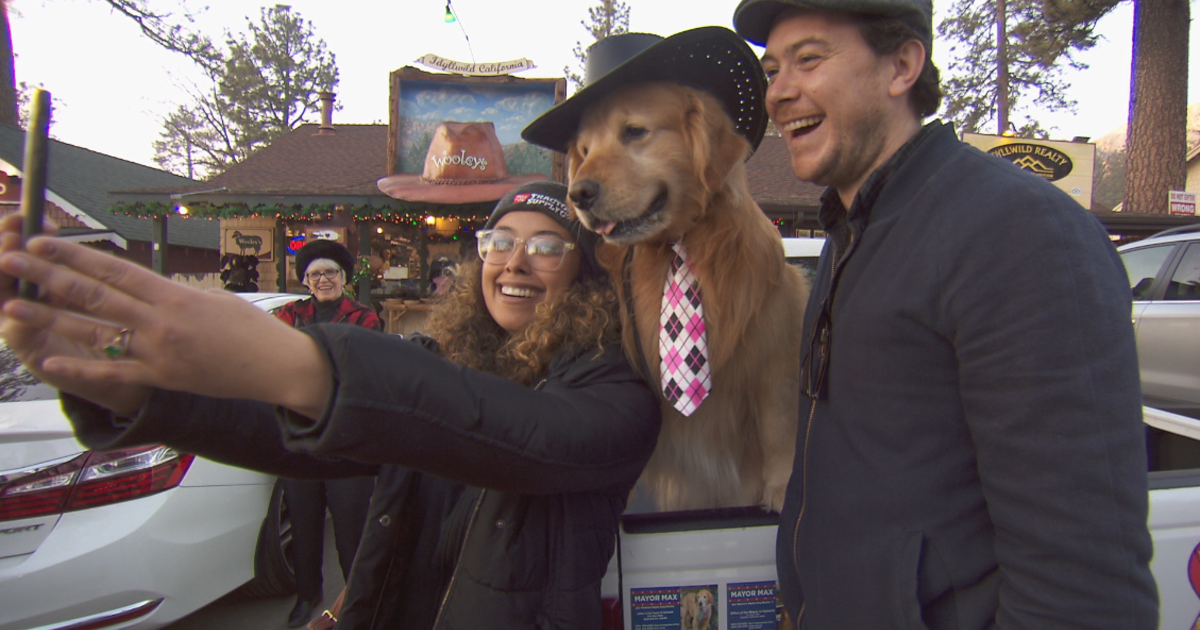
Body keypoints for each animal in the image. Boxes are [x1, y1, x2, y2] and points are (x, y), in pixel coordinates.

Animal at [564, 81, 806, 511]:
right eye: (585, 151)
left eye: (634, 131)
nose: (578, 194)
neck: (680, 242)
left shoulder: (778, 351)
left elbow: (779, 426)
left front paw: (781, 487)